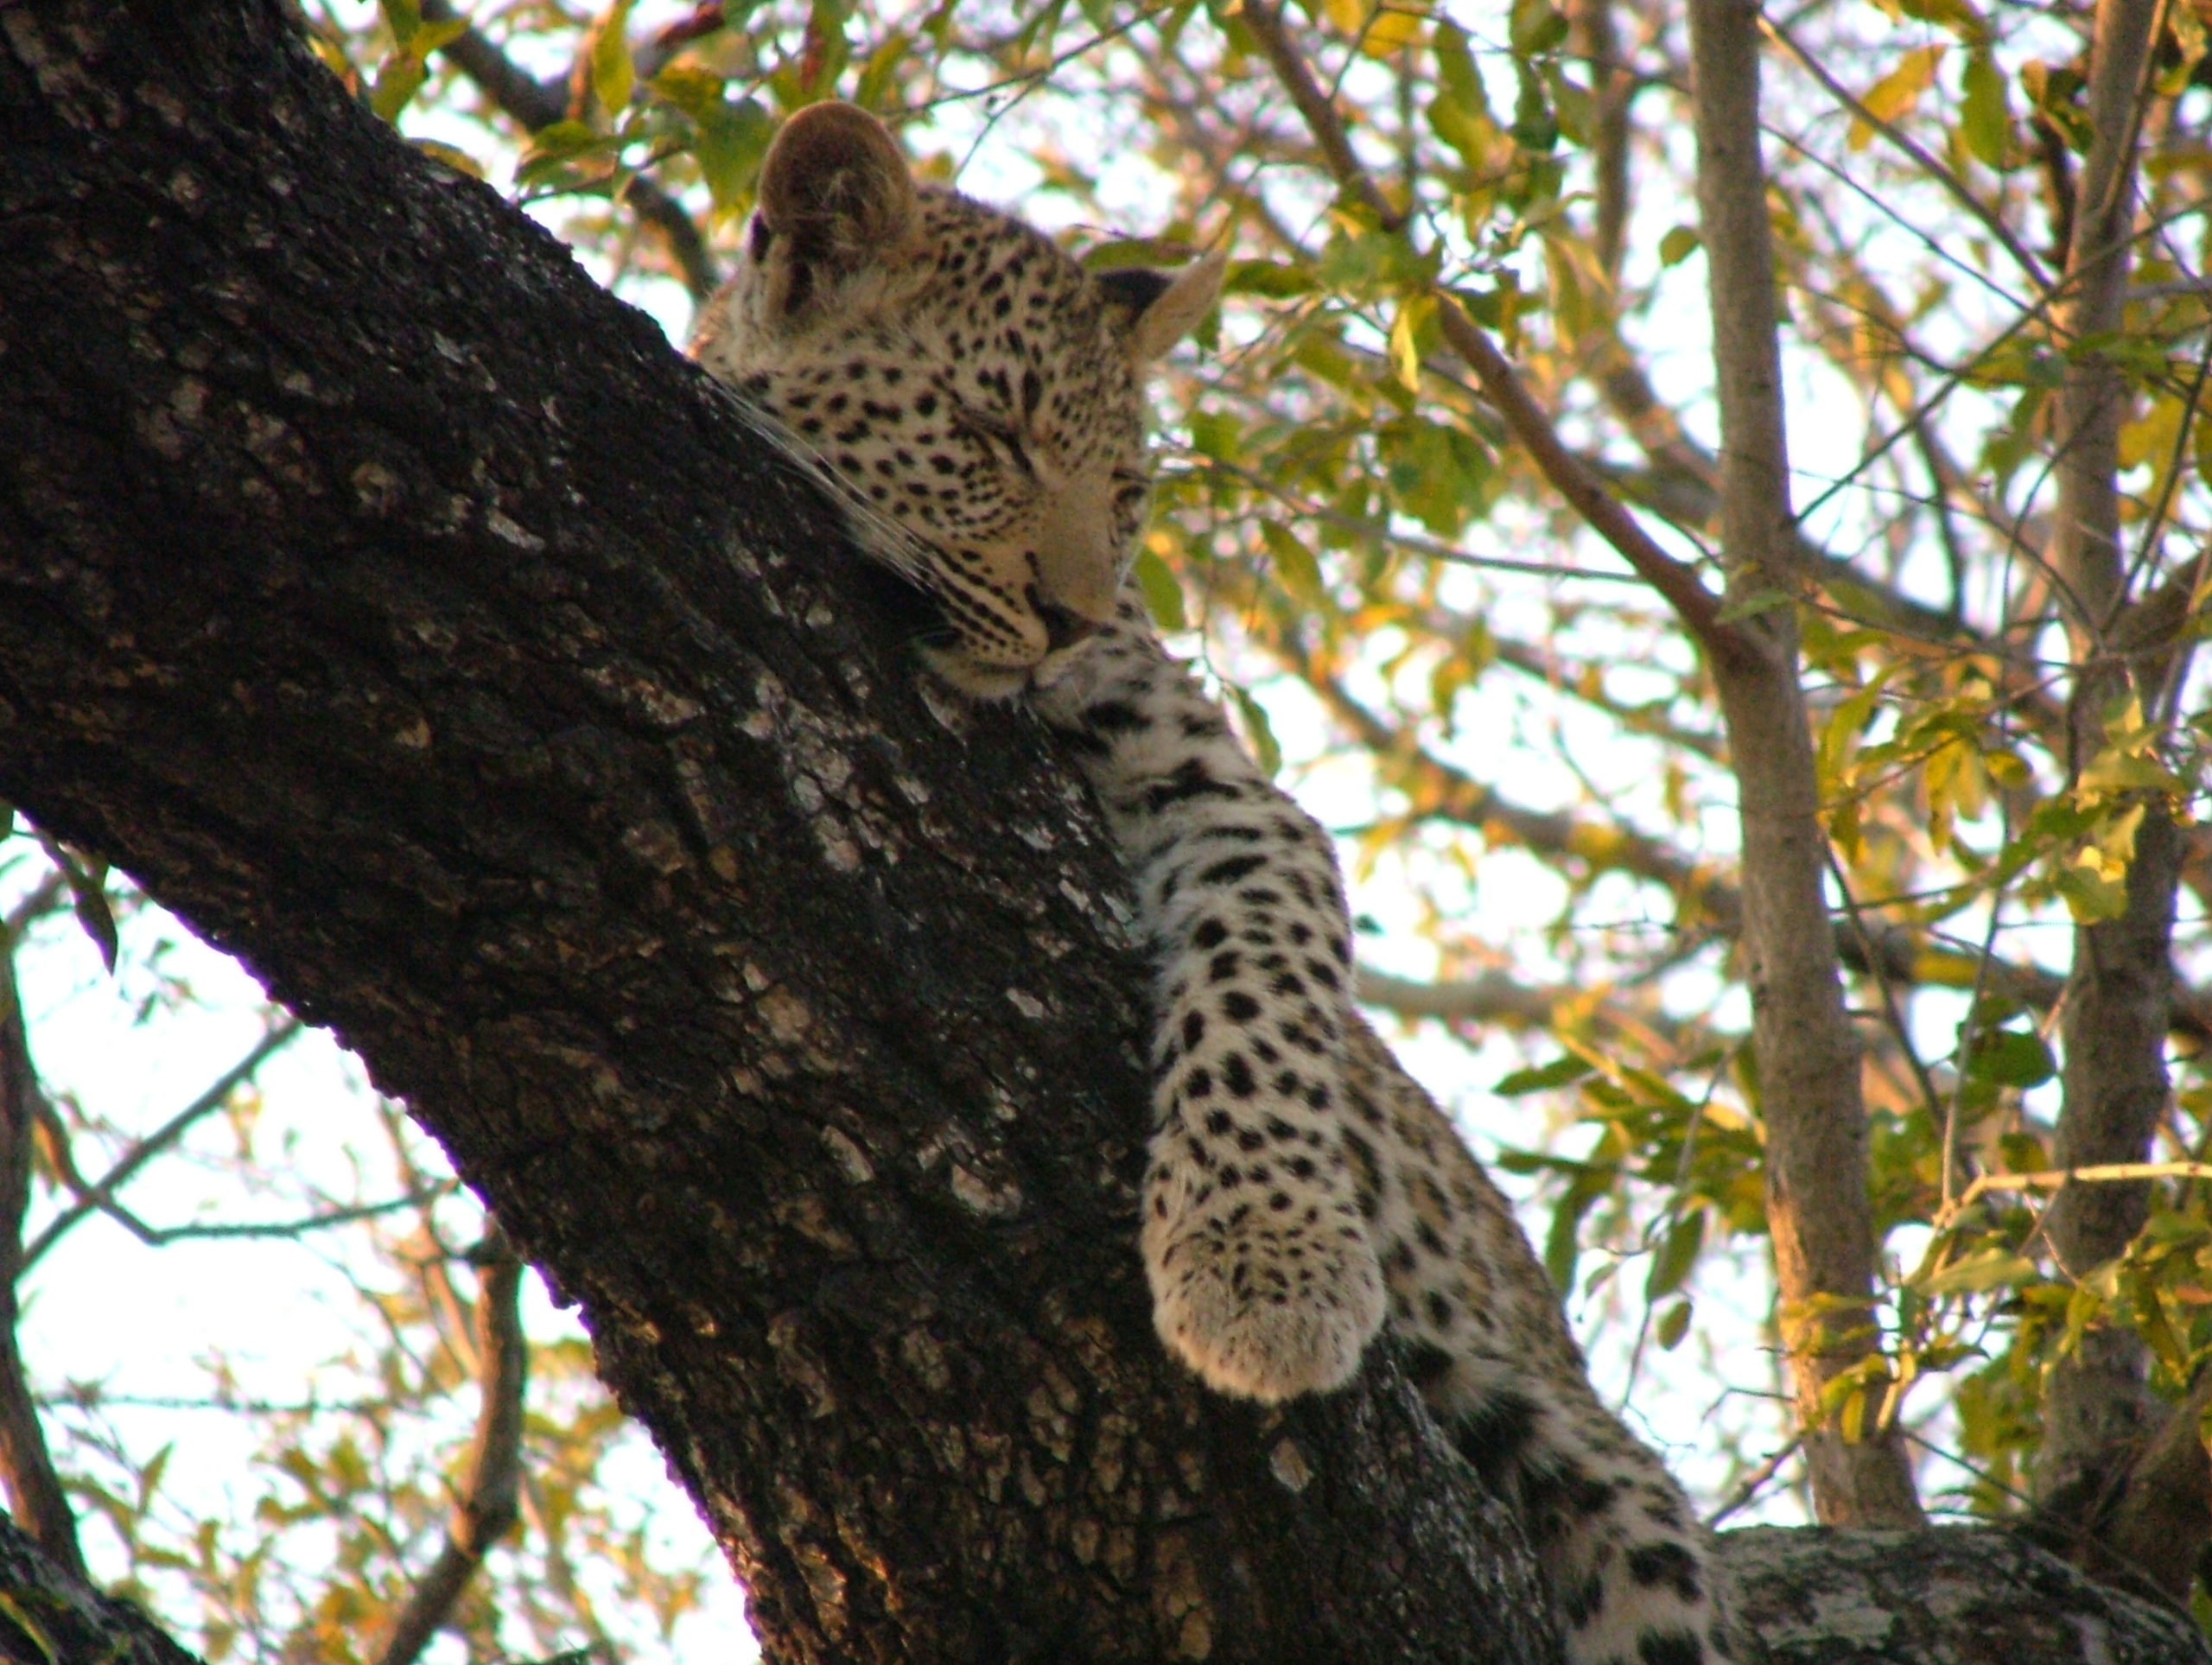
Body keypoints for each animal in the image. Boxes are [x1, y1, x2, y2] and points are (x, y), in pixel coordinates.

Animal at [692, 99, 1739, 1665]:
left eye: (1125, 490)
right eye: (989, 435)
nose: (1070, 615)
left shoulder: (1230, 794)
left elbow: (1261, 986)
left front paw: (1265, 1262)